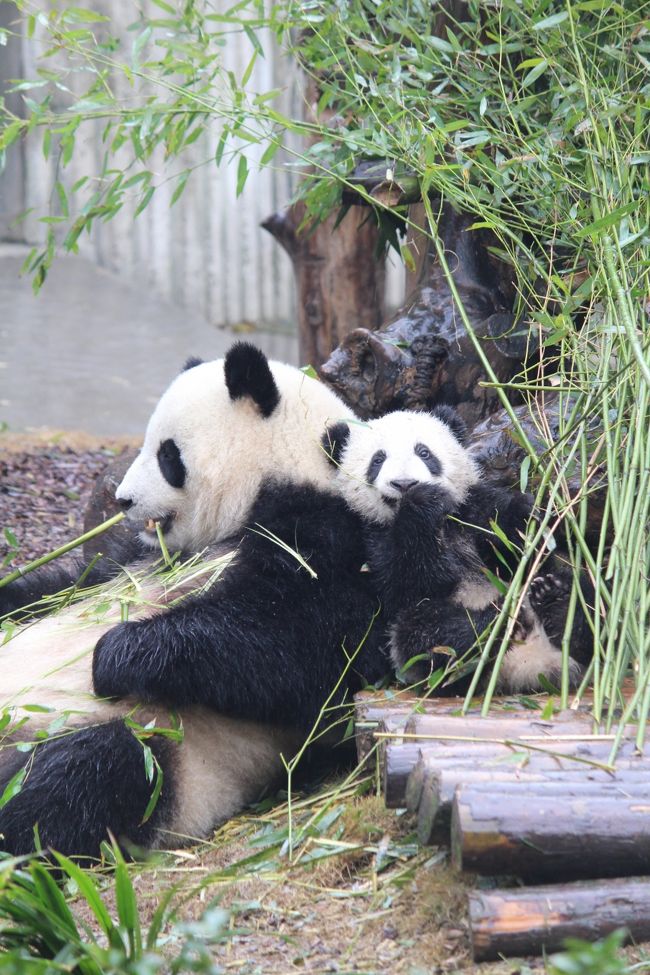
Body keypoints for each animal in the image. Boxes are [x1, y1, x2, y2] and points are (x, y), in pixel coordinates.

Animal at [0, 342, 384, 856]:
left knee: (84, 772)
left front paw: (114, 655)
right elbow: (66, 585)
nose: (122, 500)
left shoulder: (339, 541)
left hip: (151, 750)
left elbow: (296, 647)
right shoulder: (132, 560)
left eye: (167, 454)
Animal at [322, 408, 588, 696]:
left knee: (588, 595)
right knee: (427, 635)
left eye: (424, 452)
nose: (405, 484)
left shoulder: (471, 509)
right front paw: (421, 502)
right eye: (378, 459)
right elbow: (406, 582)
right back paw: (496, 621)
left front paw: (526, 515)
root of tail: (533, 663)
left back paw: (555, 600)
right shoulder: (370, 539)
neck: (444, 523)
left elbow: (512, 549)